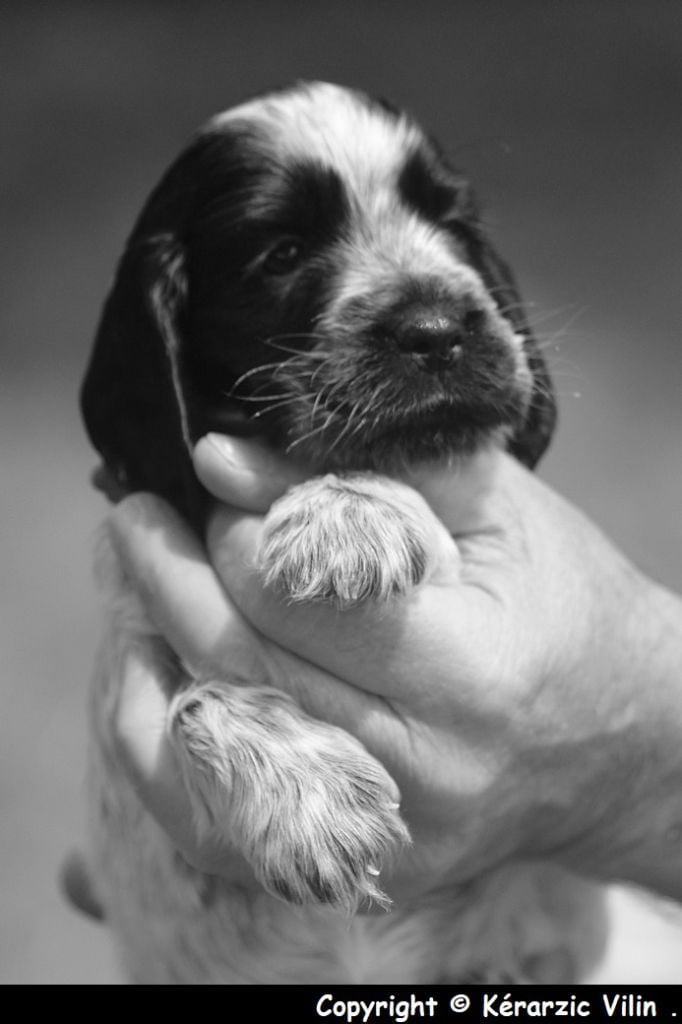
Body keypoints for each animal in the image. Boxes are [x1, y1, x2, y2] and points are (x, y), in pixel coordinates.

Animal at [80, 86, 606, 983]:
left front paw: (344, 510)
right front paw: (313, 803)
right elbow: (197, 694)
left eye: (452, 227)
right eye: (282, 254)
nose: (437, 329)